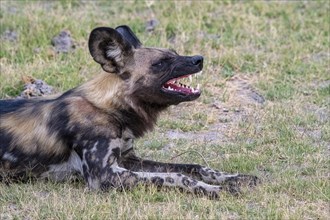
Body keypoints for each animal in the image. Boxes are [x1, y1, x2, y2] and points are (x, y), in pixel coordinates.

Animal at [0, 25, 258, 198]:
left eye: (175, 53)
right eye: (161, 63)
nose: (198, 59)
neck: (110, 109)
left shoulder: (128, 159)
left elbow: (192, 167)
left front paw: (235, 179)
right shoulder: (104, 175)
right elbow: (177, 176)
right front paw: (215, 189)